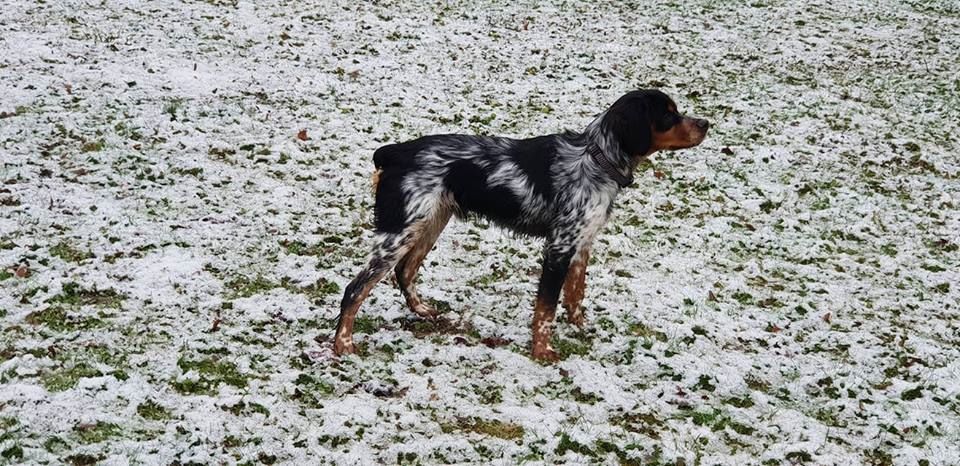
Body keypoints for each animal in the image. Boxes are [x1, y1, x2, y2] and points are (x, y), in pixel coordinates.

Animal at [334, 89, 708, 362]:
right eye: (668, 114)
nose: (706, 123)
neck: (596, 158)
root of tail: (394, 151)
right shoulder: (559, 246)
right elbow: (546, 307)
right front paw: (542, 351)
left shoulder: (582, 243)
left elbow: (575, 294)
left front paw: (580, 327)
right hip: (399, 231)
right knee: (356, 288)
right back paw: (343, 345)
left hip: (430, 222)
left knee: (405, 271)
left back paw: (423, 311)